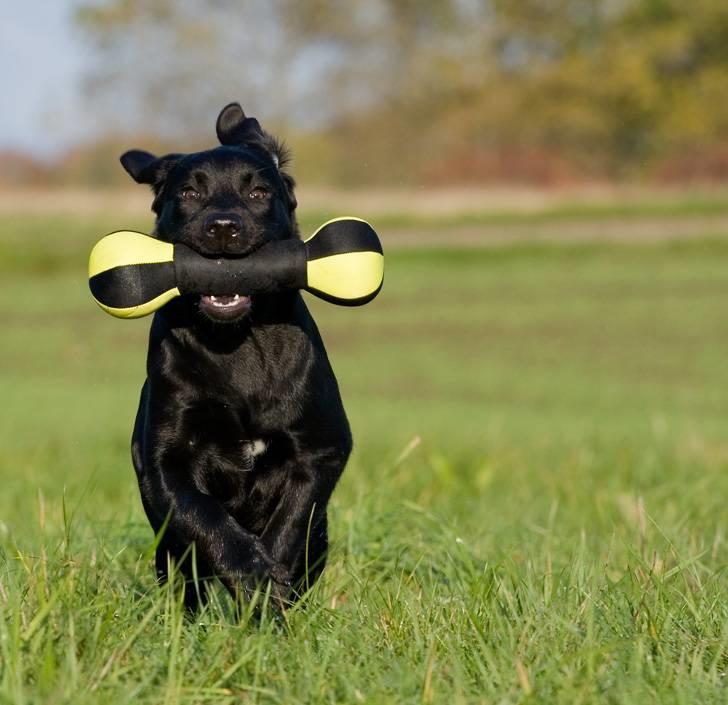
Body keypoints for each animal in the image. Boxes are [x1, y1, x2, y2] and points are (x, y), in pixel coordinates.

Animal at [120, 103, 352, 604]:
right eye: (189, 191)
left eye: (259, 191)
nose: (224, 226)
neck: (236, 343)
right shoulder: (166, 463)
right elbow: (205, 520)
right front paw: (252, 573)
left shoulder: (321, 449)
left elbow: (292, 520)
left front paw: (270, 585)